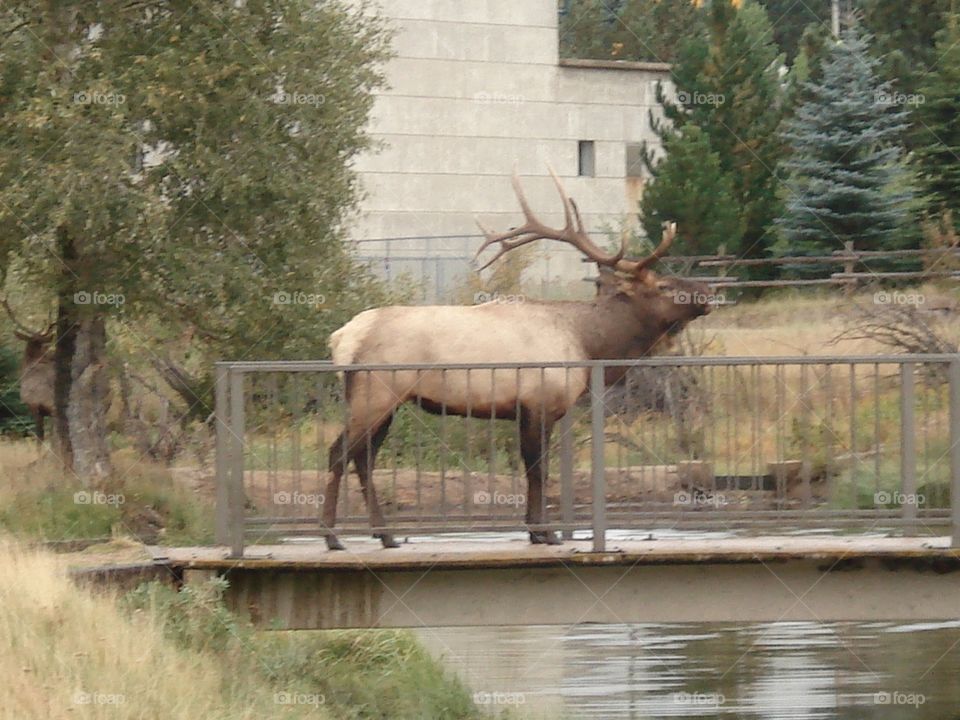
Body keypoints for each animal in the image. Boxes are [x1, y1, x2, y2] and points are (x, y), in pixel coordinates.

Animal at [323, 165, 714, 550]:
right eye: (664, 286)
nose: (707, 292)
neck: (587, 344)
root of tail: (342, 338)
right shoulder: (540, 403)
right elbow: (538, 468)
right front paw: (546, 532)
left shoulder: (527, 411)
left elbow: (532, 468)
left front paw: (534, 530)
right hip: (377, 392)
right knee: (340, 453)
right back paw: (333, 537)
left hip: (386, 400)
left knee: (363, 457)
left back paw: (386, 535)